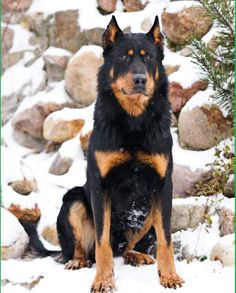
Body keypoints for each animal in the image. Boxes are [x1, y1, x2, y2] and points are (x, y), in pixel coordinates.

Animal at [23, 15, 184, 292]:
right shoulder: (100, 187)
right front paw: (103, 280)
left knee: (127, 246)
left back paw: (136, 255)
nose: (140, 79)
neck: (134, 121)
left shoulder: (163, 187)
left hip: (147, 210)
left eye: (148, 58)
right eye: (123, 58)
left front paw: (169, 276)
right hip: (74, 200)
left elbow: (166, 240)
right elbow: (102, 242)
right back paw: (77, 261)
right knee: (84, 248)